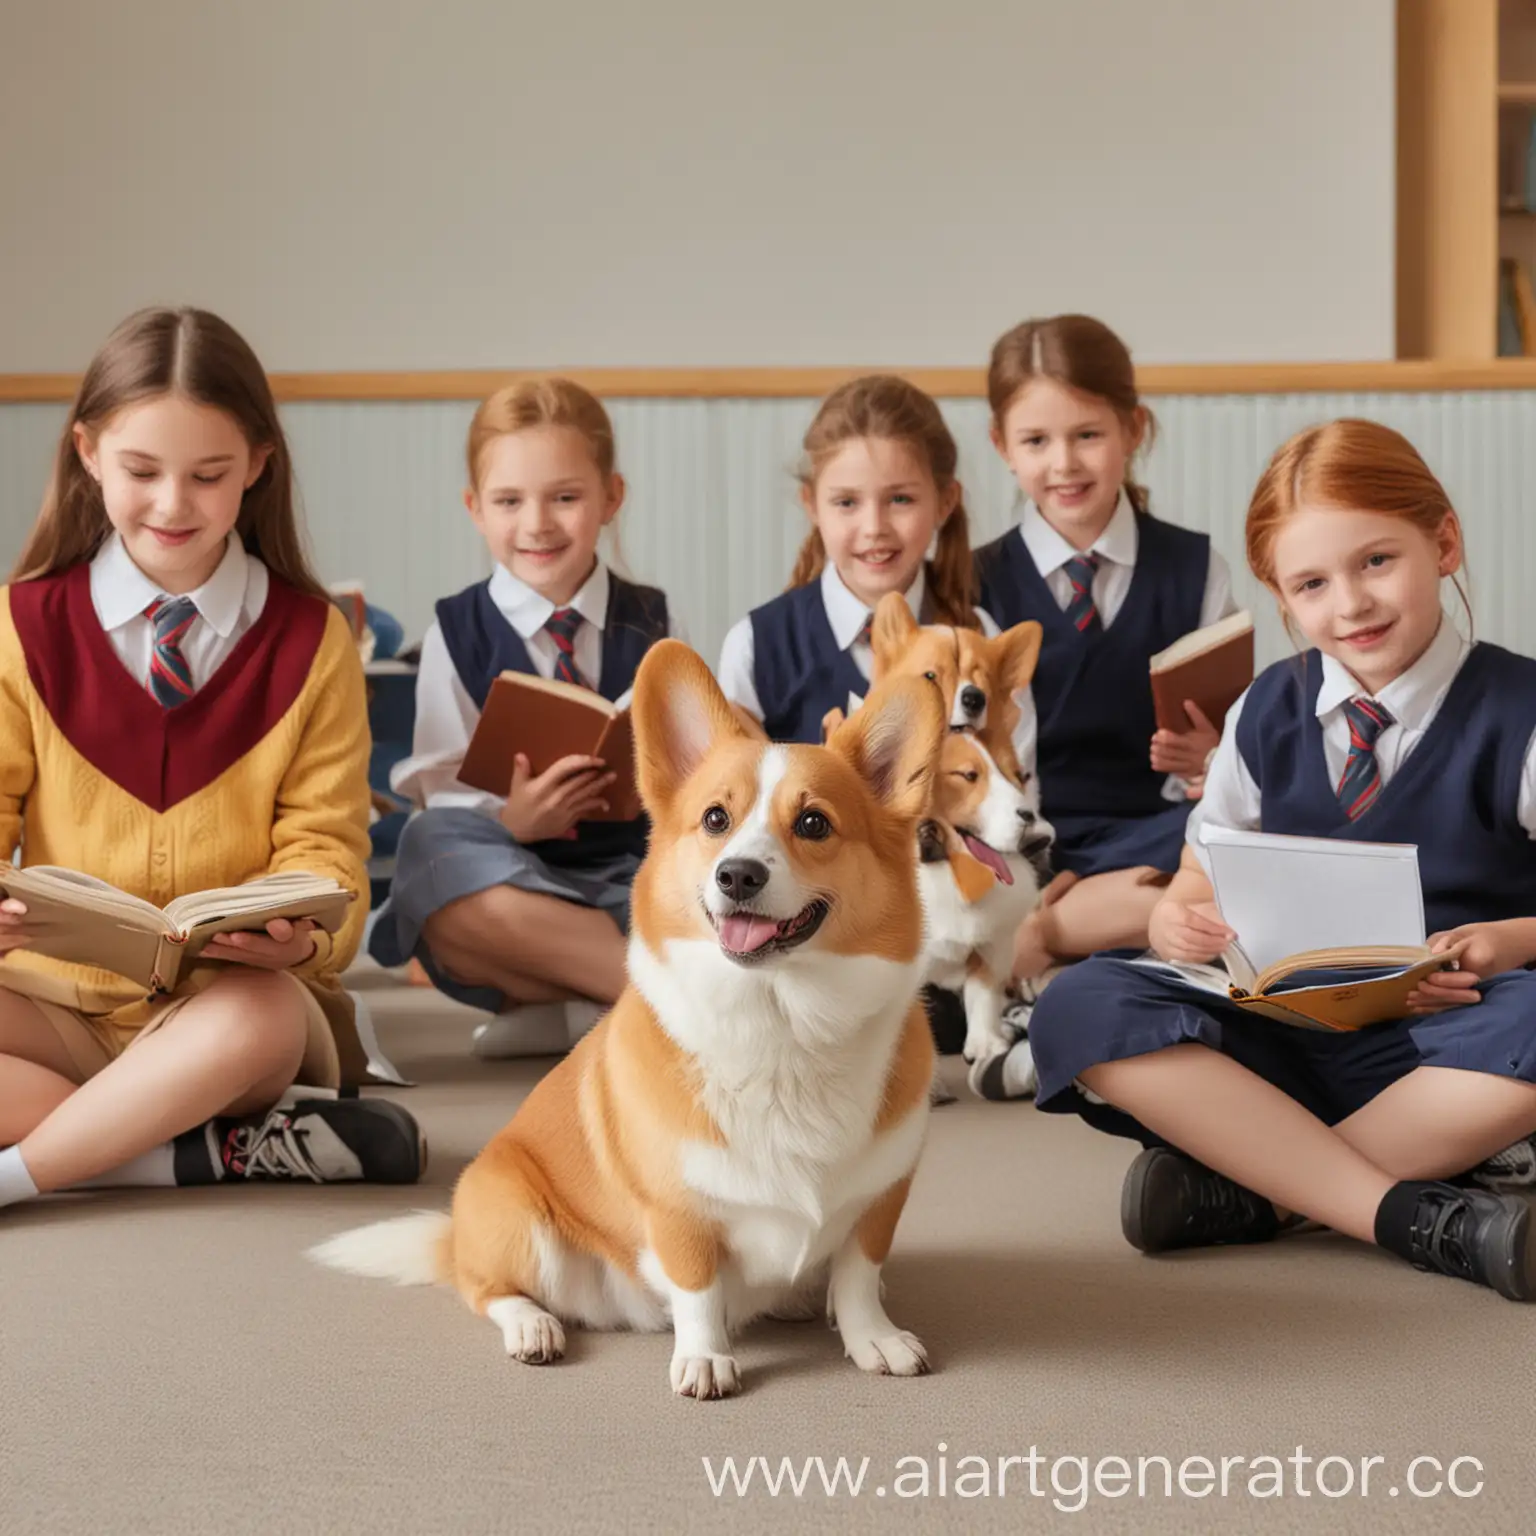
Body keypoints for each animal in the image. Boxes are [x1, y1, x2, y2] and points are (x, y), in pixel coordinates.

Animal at [311, 642, 946, 1400]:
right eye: (715, 819)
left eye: (814, 823)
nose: (736, 875)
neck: (783, 1021)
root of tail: (455, 1230)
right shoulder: (677, 1213)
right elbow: (699, 1290)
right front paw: (705, 1360)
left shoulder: (881, 1199)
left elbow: (857, 1277)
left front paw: (873, 1338)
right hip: (520, 1221)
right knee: (486, 1288)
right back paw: (533, 1326)